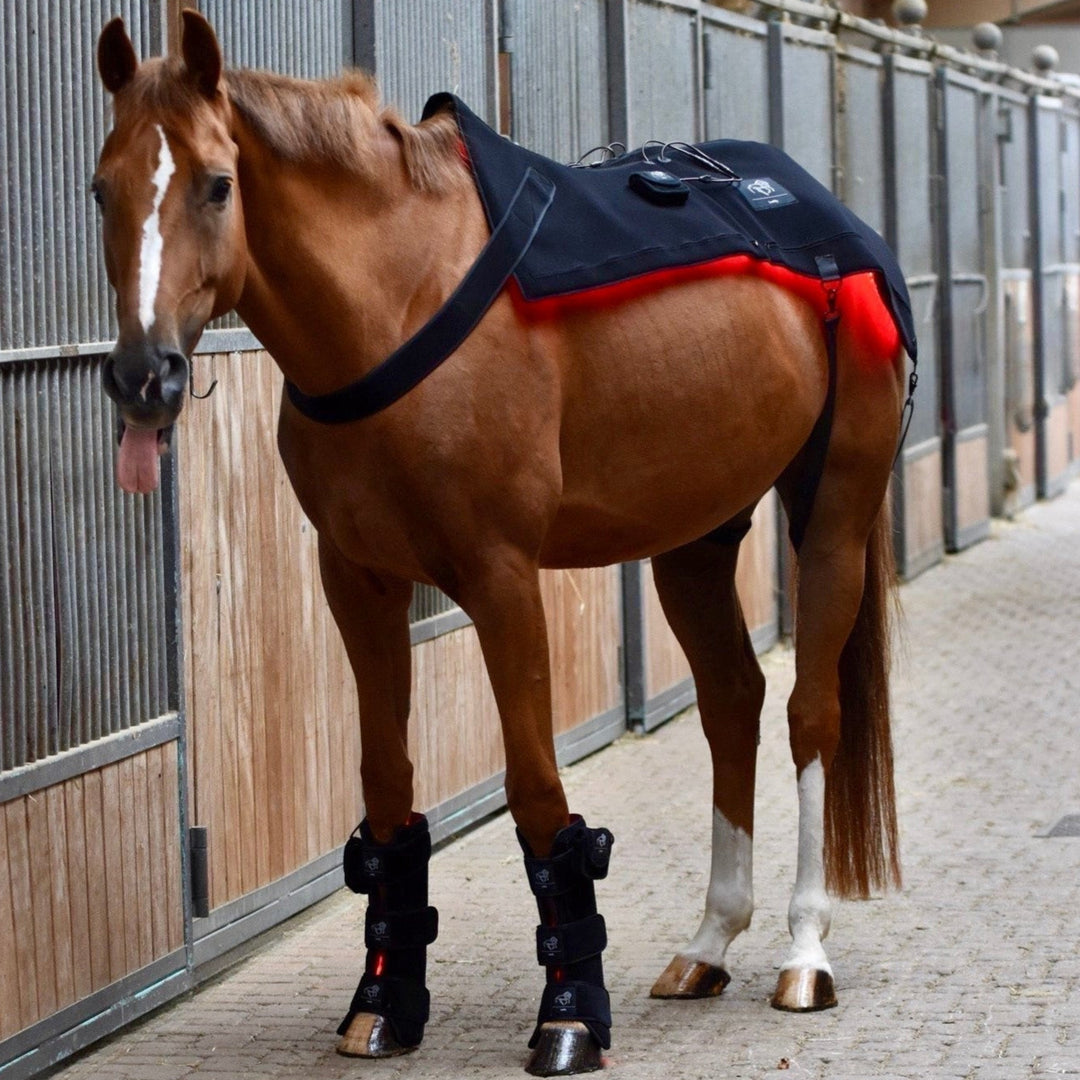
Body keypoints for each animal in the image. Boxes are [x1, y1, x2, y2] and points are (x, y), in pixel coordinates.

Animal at [94, 11, 904, 1076]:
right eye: (101, 186)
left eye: (218, 183)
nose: (142, 376)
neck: (397, 299)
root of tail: (832, 223)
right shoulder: (358, 580)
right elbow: (387, 787)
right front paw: (382, 1003)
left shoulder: (500, 578)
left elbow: (535, 791)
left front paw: (569, 1013)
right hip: (693, 538)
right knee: (734, 701)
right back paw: (709, 943)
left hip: (834, 513)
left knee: (813, 715)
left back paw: (804, 953)